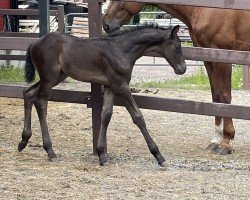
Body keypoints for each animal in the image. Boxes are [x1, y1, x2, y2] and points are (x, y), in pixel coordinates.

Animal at [19, 25, 186, 166]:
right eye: (178, 46)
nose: (182, 69)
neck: (121, 50)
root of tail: (34, 43)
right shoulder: (121, 86)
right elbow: (138, 117)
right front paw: (159, 156)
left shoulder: (110, 86)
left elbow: (106, 114)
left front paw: (101, 154)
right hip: (49, 78)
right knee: (41, 102)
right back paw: (50, 150)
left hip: (56, 77)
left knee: (28, 93)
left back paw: (23, 141)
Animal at [102, 0, 250, 155]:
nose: (106, 24)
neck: (205, 9)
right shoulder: (208, 58)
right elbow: (216, 97)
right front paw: (215, 140)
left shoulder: (223, 58)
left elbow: (225, 98)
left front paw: (226, 142)